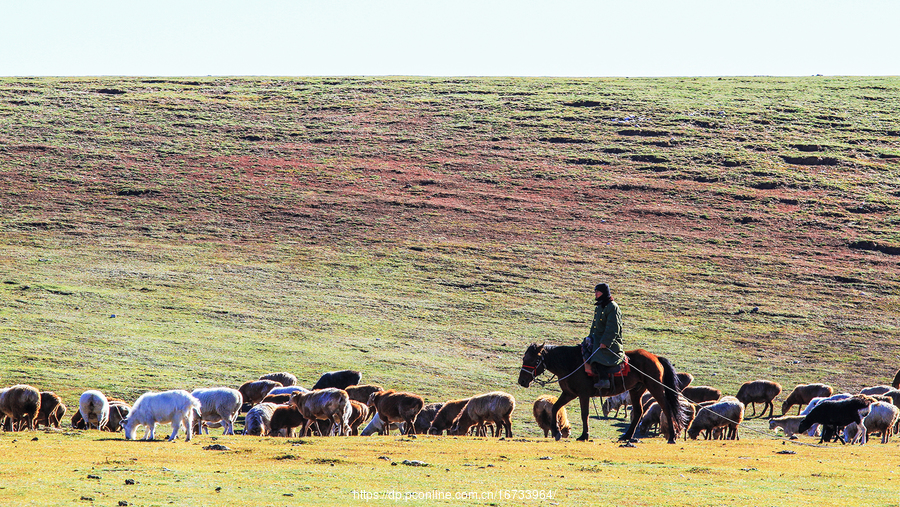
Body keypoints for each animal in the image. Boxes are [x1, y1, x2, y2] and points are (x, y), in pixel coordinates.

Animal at [516, 344, 684, 446]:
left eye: (534, 359)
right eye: (524, 358)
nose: (522, 381)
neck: (571, 363)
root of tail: (655, 357)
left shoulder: (583, 394)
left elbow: (584, 414)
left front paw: (584, 435)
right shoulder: (569, 393)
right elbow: (555, 408)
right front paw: (556, 432)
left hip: (655, 387)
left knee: (666, 407)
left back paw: (672, 437)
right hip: (636, 390)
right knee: (638, 412)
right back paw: (626, 436)